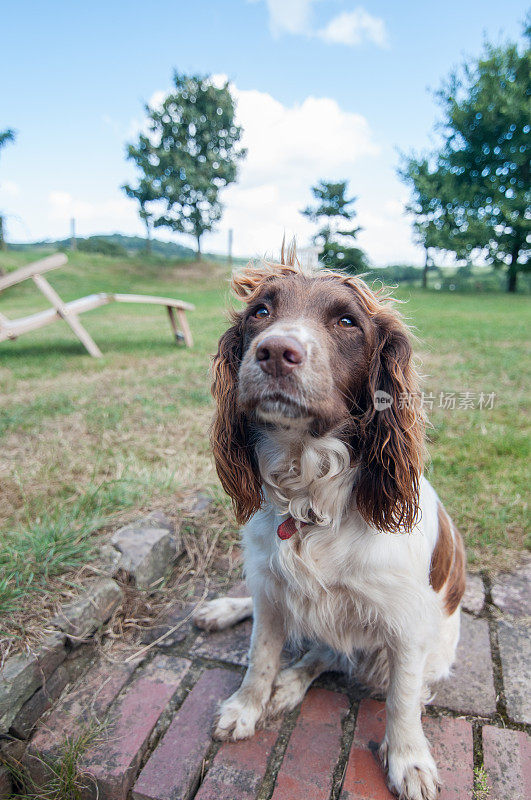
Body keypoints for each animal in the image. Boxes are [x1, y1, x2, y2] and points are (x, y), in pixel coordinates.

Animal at [194, 244, 466, 800]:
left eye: (346, 321)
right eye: (261, 311)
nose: (275, 352)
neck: (312, 502)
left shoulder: (404, 628)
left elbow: (403, 701)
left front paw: (409, 760)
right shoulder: (271, 587)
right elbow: (259, 655)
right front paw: (246, 707)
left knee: (334, 655)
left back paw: (291, 684)